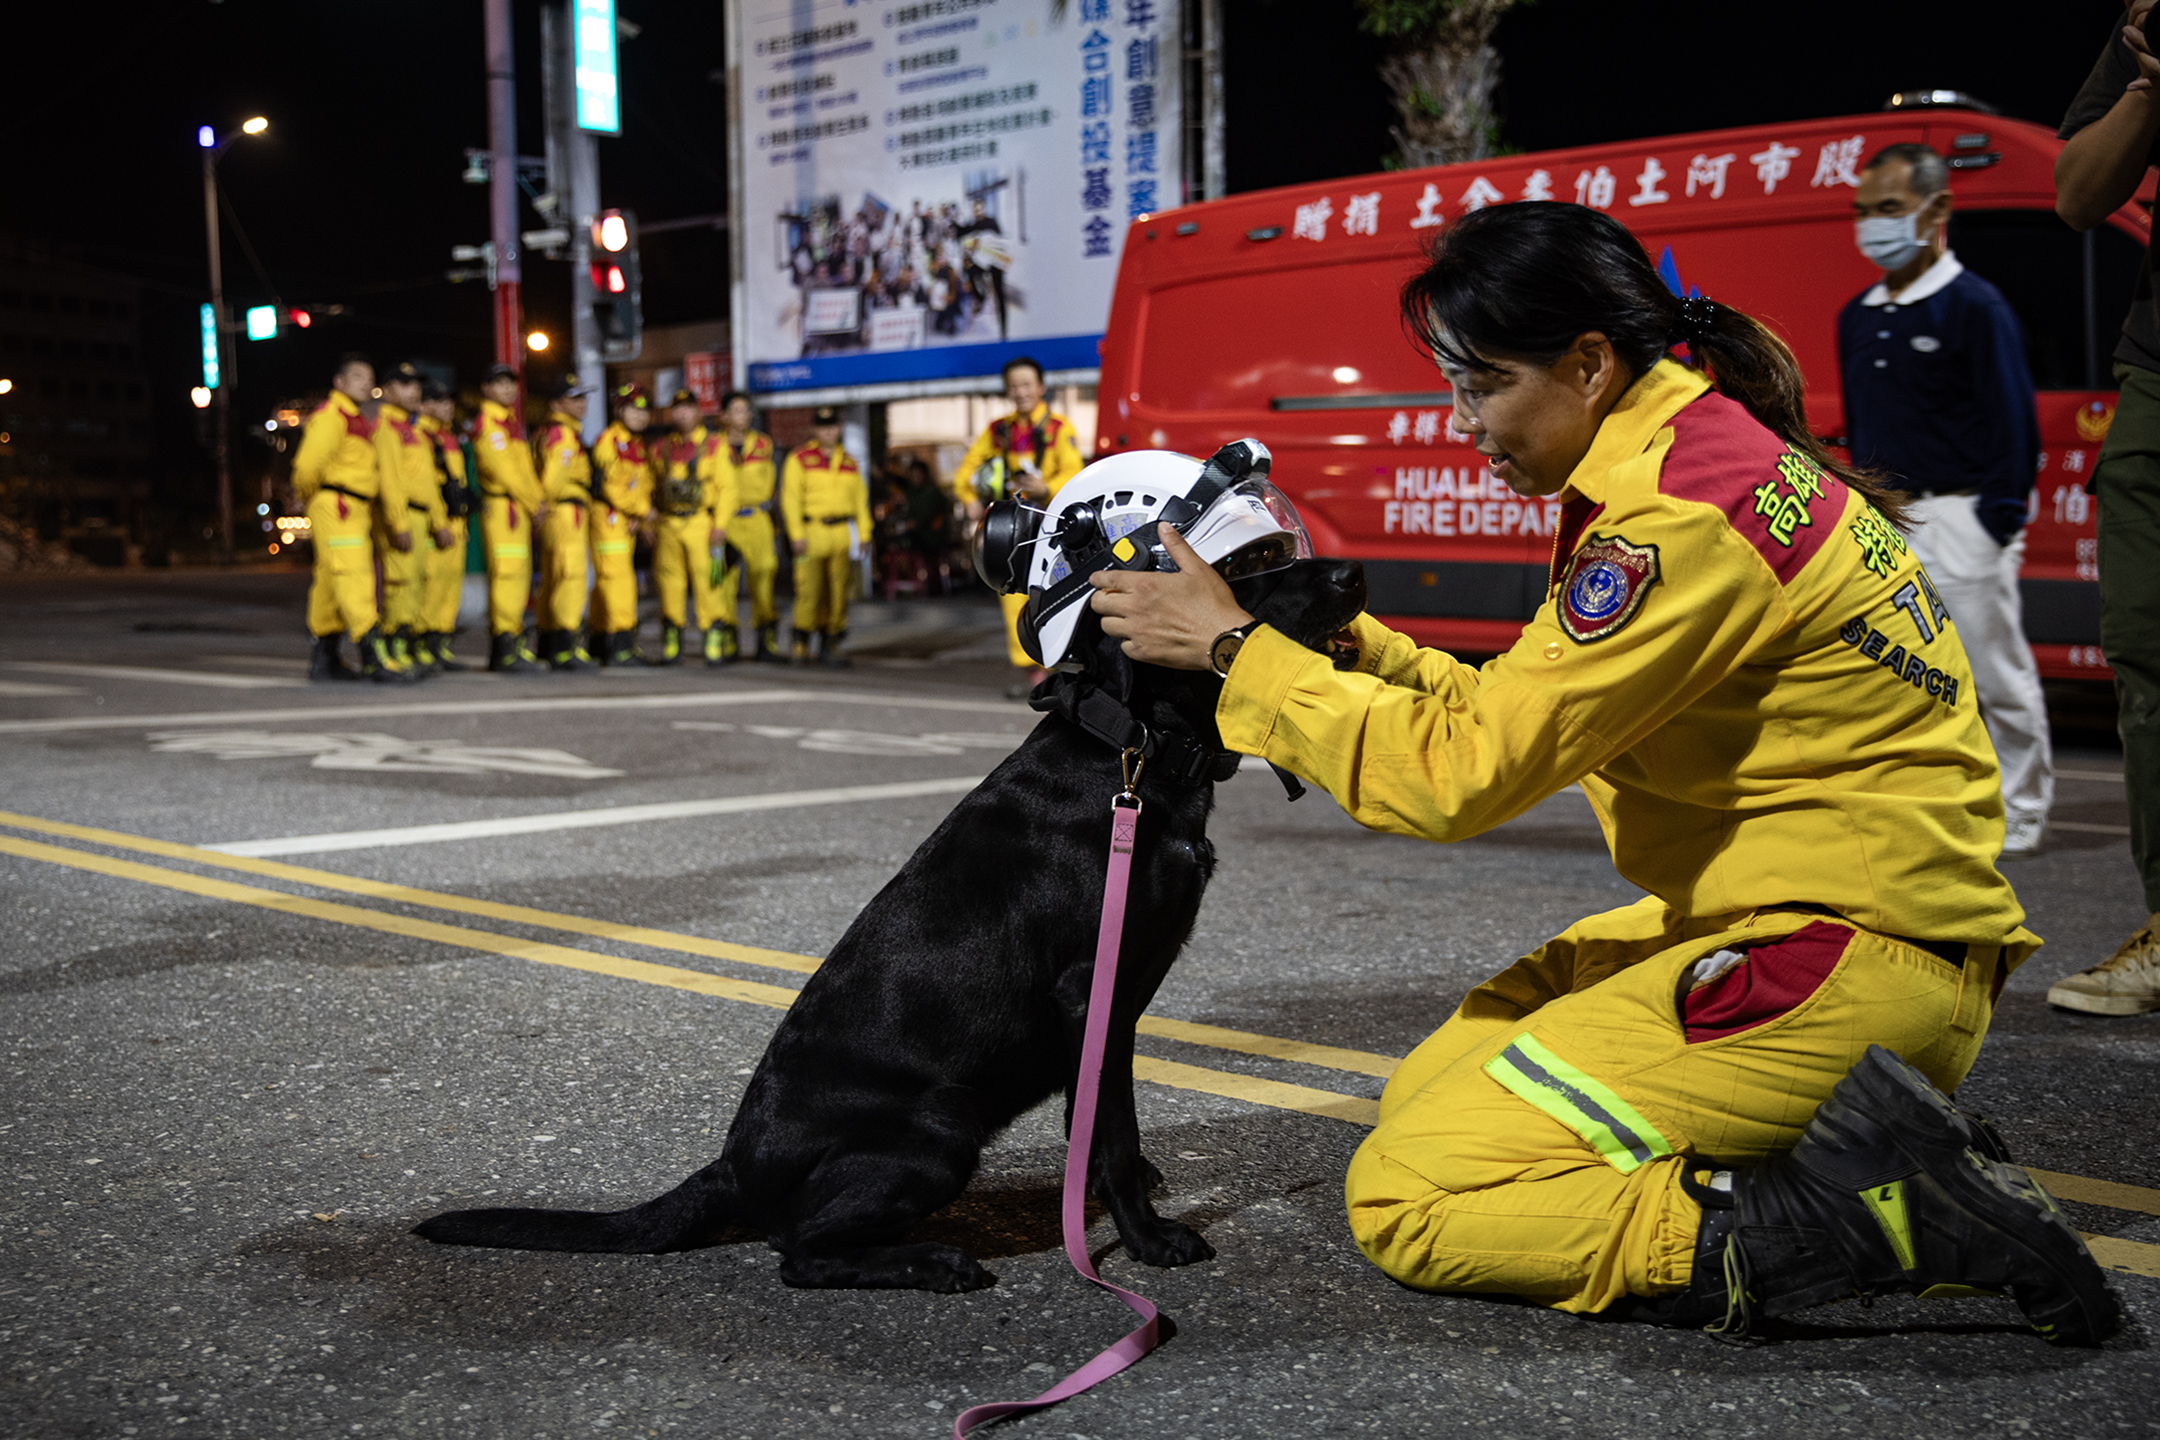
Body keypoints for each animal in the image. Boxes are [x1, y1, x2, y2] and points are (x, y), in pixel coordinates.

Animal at [416, 557, 1365, 1286]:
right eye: (1240, 572)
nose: (1355, 572)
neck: (1129, 754)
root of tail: (731, 1170)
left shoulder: (1107, 1013)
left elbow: (1093, 1129)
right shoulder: (1090, 992)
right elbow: (1116, 1134)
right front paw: (1148, 1240)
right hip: (939, 1133)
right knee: (800, 1255)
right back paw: (931, 1262)